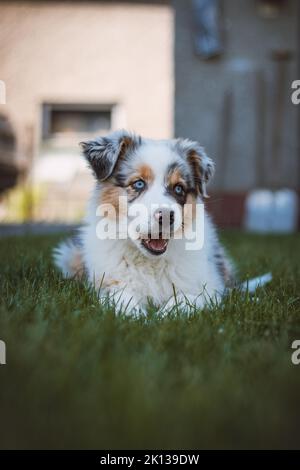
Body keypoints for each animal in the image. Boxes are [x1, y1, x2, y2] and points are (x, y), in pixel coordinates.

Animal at [55, 129, 236, 316]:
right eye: (139, 183)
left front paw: (165, 315)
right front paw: (135, 315)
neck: (150, 262)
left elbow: (190, 298)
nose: (166, 216)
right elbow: (121, 296)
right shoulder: (106, 284)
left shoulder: (211, 288)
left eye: (179, 188)